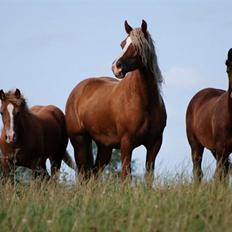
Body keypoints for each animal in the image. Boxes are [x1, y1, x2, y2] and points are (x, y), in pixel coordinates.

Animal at [65, 20, 167, 180]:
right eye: (122, 43)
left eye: (137, 46)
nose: (116, 67)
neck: (145, 102)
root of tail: (77, 90)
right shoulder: (126, 143)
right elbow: (125, 176)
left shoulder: (154, 145)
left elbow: (148, 177)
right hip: (79, 141)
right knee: (83, 175)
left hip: (104, 147)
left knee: (94, 173)